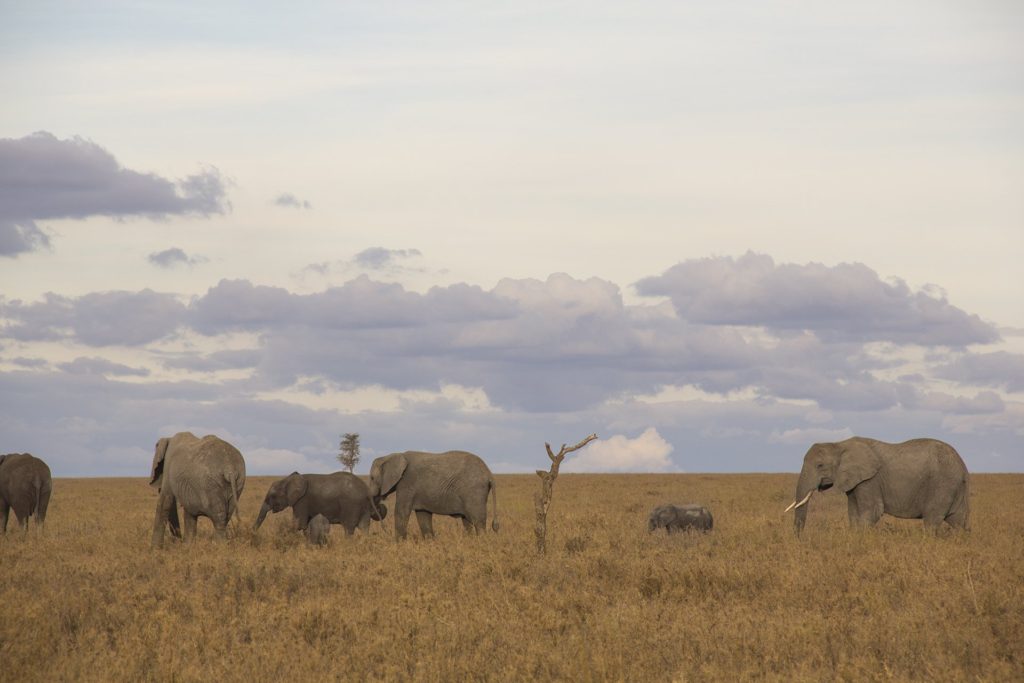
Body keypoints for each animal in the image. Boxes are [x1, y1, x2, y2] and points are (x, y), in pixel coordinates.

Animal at [252, 473, 387, 536]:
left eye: (272, 496)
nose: (252, 533)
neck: (287, 479)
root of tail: (367, 491)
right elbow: (305, 525)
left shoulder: (302, 501)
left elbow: (299, 524)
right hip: (363, 506)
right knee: (364, 528)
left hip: (352, 505)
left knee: (349, 528)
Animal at [368, 450, 499, 540]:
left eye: (372, 478)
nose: (386, 531)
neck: (393, 455)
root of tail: (489, 473)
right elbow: (423, 515)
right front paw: (430, 542)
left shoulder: (407, 483)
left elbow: (401, 512)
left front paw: (398, 544)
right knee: (467, 522)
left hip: (474, 491)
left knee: (478, 521)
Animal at [786, 436, 970, 536]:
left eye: (820, 466)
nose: (800, 540)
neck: (839, 444)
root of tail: (963, 465)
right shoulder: (855, 482)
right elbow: (853, 514)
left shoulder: (870, 480)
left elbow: (872, 511)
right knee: (959, 521)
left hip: (943, 484)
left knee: (932, 520)